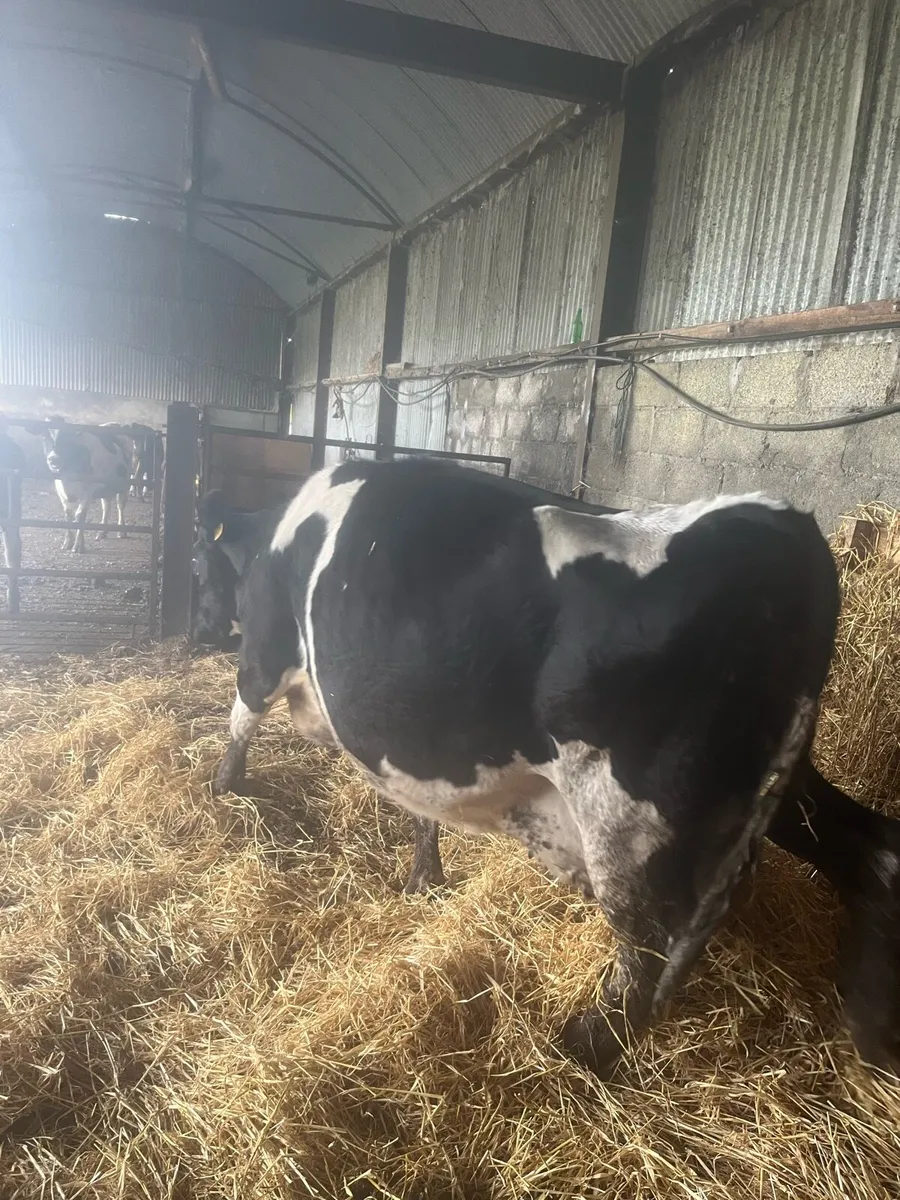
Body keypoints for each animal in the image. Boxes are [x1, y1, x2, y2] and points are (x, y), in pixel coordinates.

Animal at [43, 423, 131, 552]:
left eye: (67, 438)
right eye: (45, 438)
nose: (52, 459)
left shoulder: (87, 492)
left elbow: (80, 515)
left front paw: (78, 546)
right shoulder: (61, 491)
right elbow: (68, 515)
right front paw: (67, 543)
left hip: (125, 484)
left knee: (120, 505)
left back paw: (121, 531)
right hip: (106, 487)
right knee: (106, 506)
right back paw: (102, 531)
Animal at [209, 458, 900, 1078]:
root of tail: (789, 529)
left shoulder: (265, 649)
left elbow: (239, 722)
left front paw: (223, 791)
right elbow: (417, 808)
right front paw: (424, 877)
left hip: (625, 810)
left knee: (646, 944)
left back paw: (584, 1047)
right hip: (775, 779)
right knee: (872, 849)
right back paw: (869, 1036)